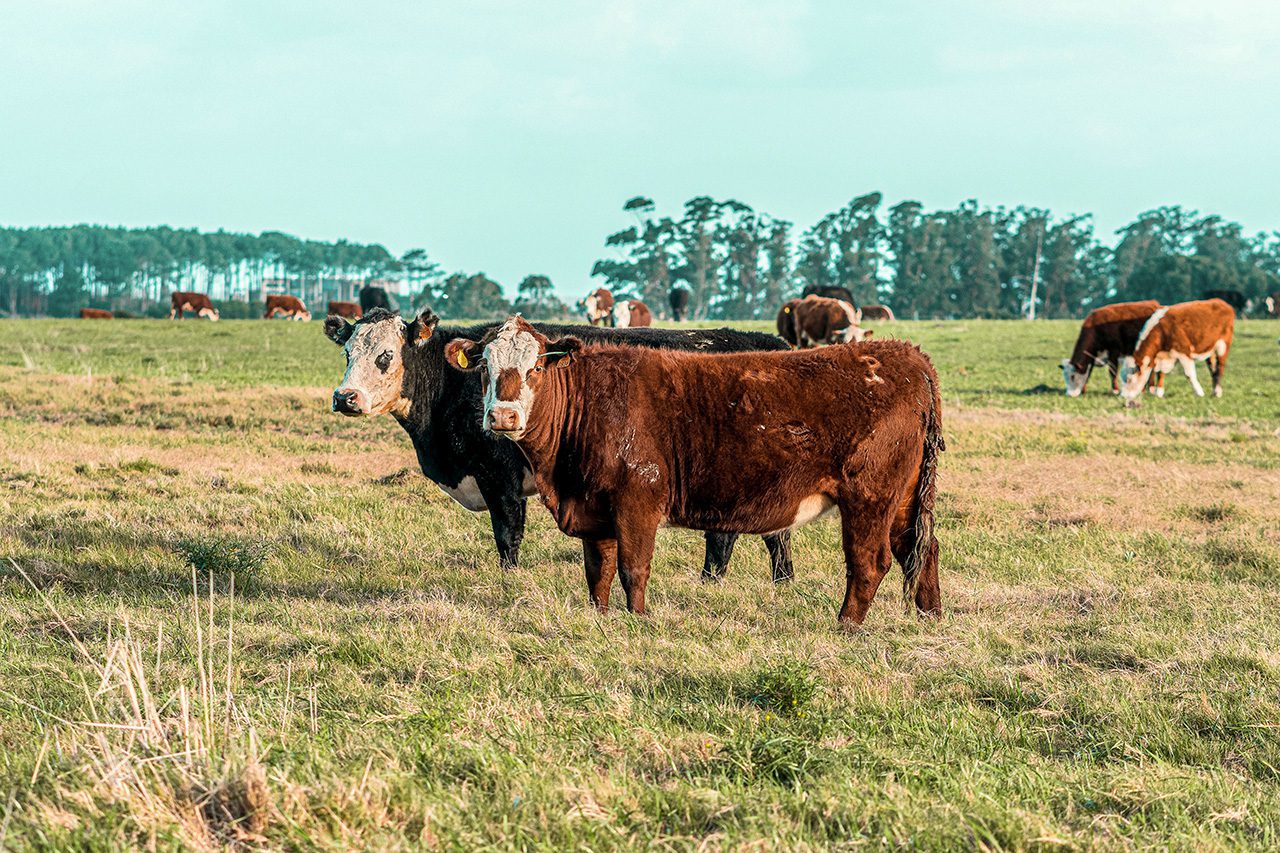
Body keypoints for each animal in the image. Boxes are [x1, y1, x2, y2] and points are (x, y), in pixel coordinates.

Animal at [325, 308, 795, 581]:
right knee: (774, 534)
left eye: (385, 355)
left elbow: (507, 536)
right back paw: (780, 582)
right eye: (347, 352)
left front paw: (508, 583)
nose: (344, 398)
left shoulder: (501, 478)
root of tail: (770, 342)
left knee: (729, 535)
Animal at [445, 317, 943, 625]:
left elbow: (633, 567)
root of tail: (906, 356)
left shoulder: (638, 501)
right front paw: (599, 617)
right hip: (903, 498)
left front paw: (638, 620)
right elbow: (597, 570)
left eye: (534, 368)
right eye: (485, 366)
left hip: (869, 495)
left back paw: (846, 626)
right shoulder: (593, 506)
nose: (502, 417)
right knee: (921, 549)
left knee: (870, 561)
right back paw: (929, 616)